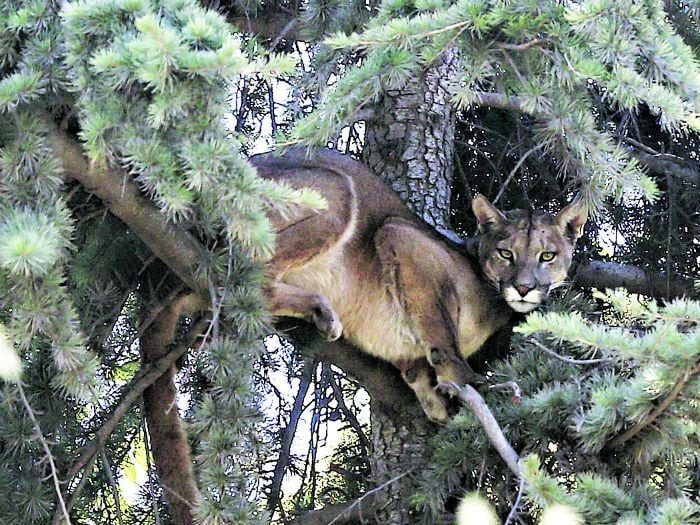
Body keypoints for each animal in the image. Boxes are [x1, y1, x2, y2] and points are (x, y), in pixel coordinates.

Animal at [254, 148, 588, 422]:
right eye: (506, 253)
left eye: (548, 255)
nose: (523, 287)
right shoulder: (401, 235)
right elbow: (441, 331)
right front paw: (469, 380)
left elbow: (416, 370)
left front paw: (436, 403)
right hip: (338, 190)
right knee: (258, 278)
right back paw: (323, 312)